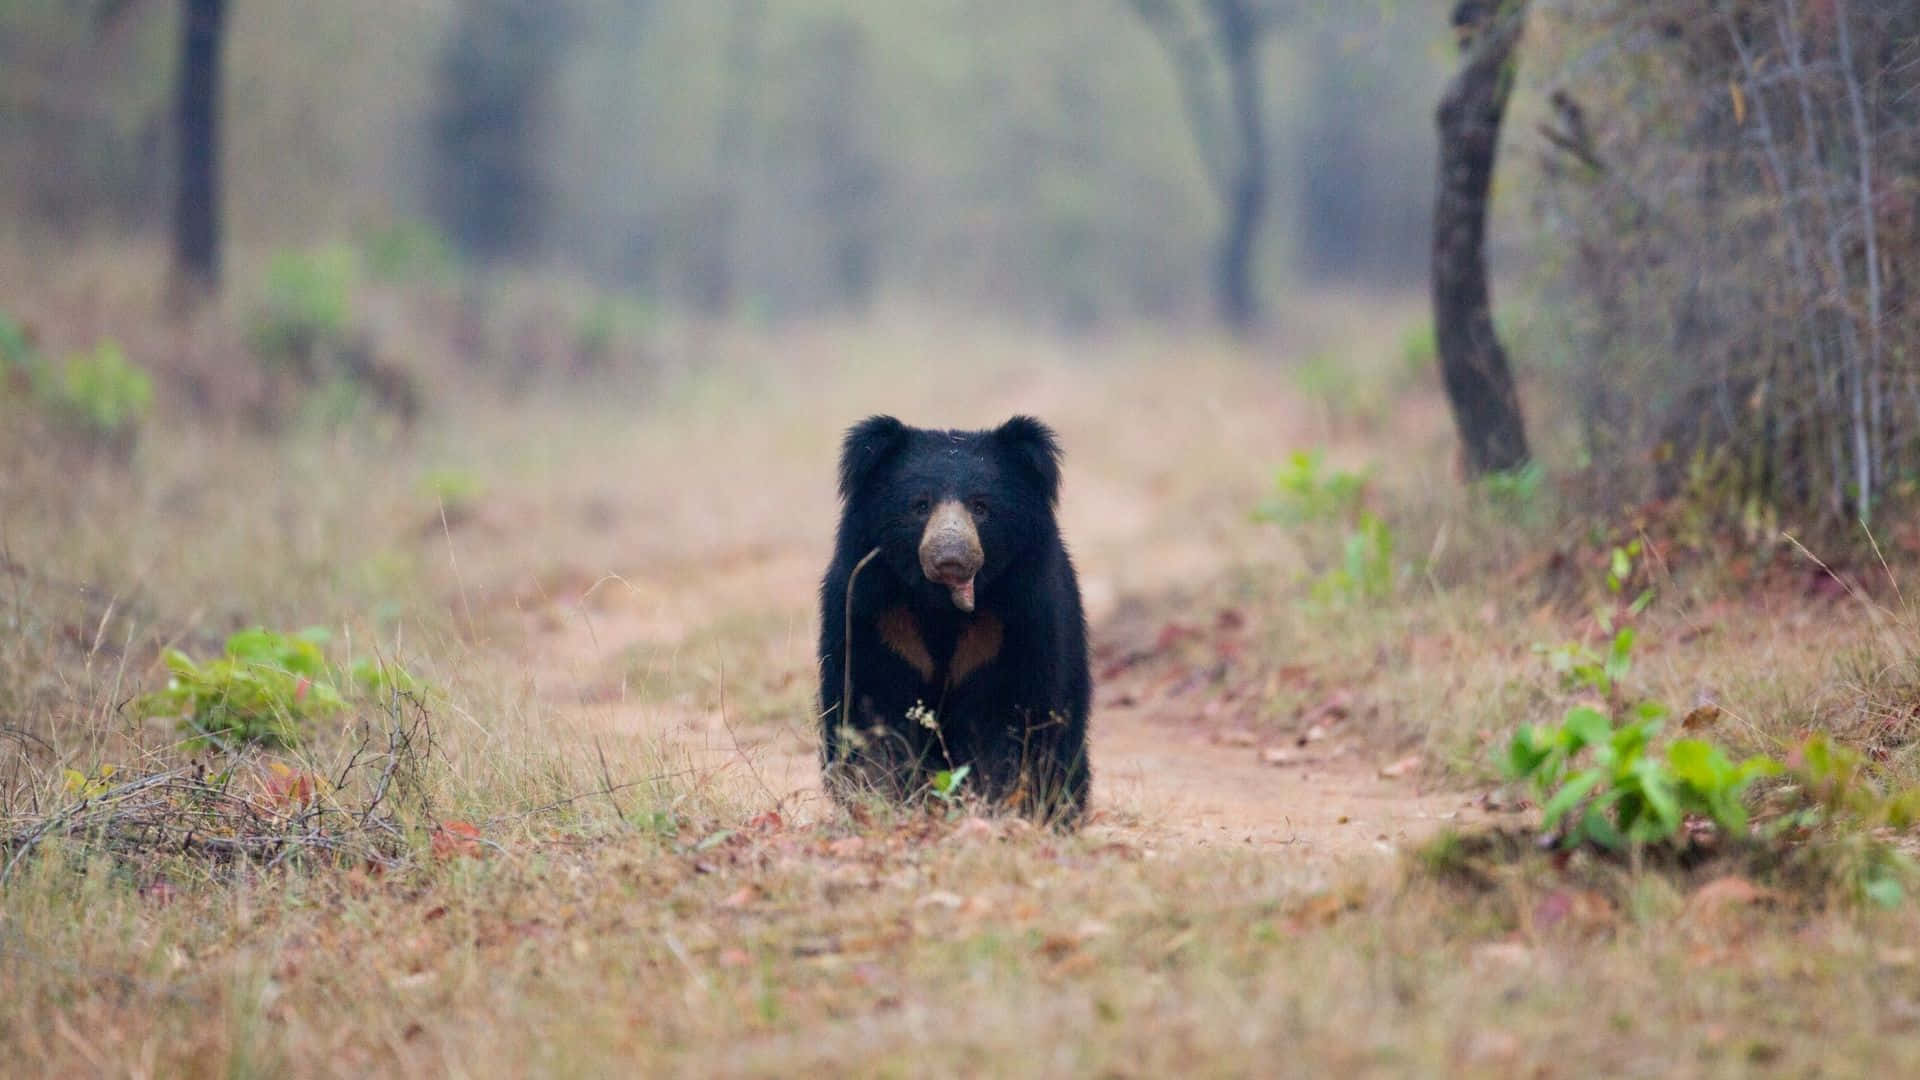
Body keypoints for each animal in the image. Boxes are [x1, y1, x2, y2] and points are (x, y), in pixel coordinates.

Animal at [817, 415, 1091, 826]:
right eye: (920, 505)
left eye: (981, 506)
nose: (951, 557)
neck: (941, 605)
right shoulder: (873, 611)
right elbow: (869, 704)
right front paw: (882, 798)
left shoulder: (1020, 615)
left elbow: (1010, 715)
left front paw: (995, 804)